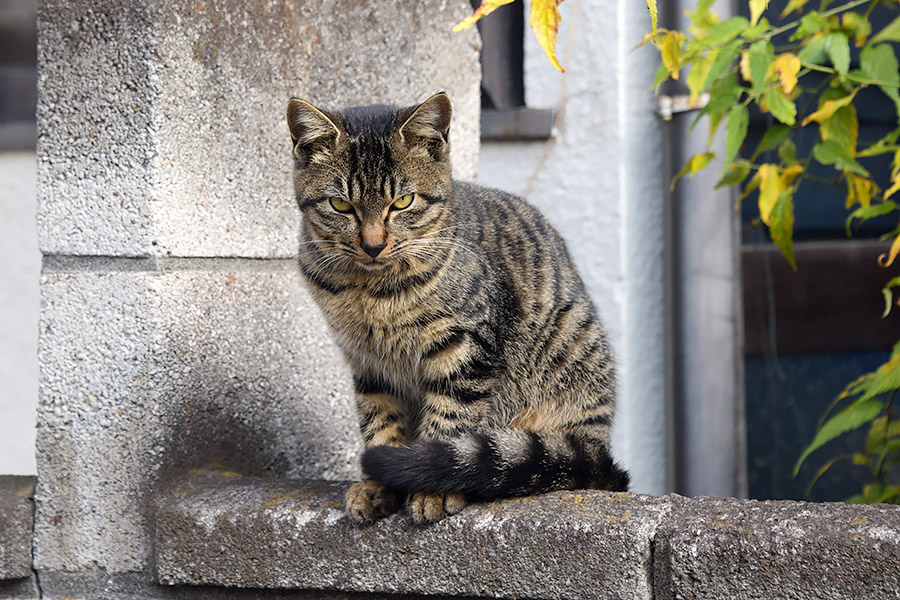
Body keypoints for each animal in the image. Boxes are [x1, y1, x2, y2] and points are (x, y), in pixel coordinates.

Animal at [284, 91, 628, 524]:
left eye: (403, 201)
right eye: (341, 206)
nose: (373, 244)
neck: (369, 290)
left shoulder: (464, 346)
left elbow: (449, 418)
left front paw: (432, 487)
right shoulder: (366, 361)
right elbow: (379, 421)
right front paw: (378, 484)